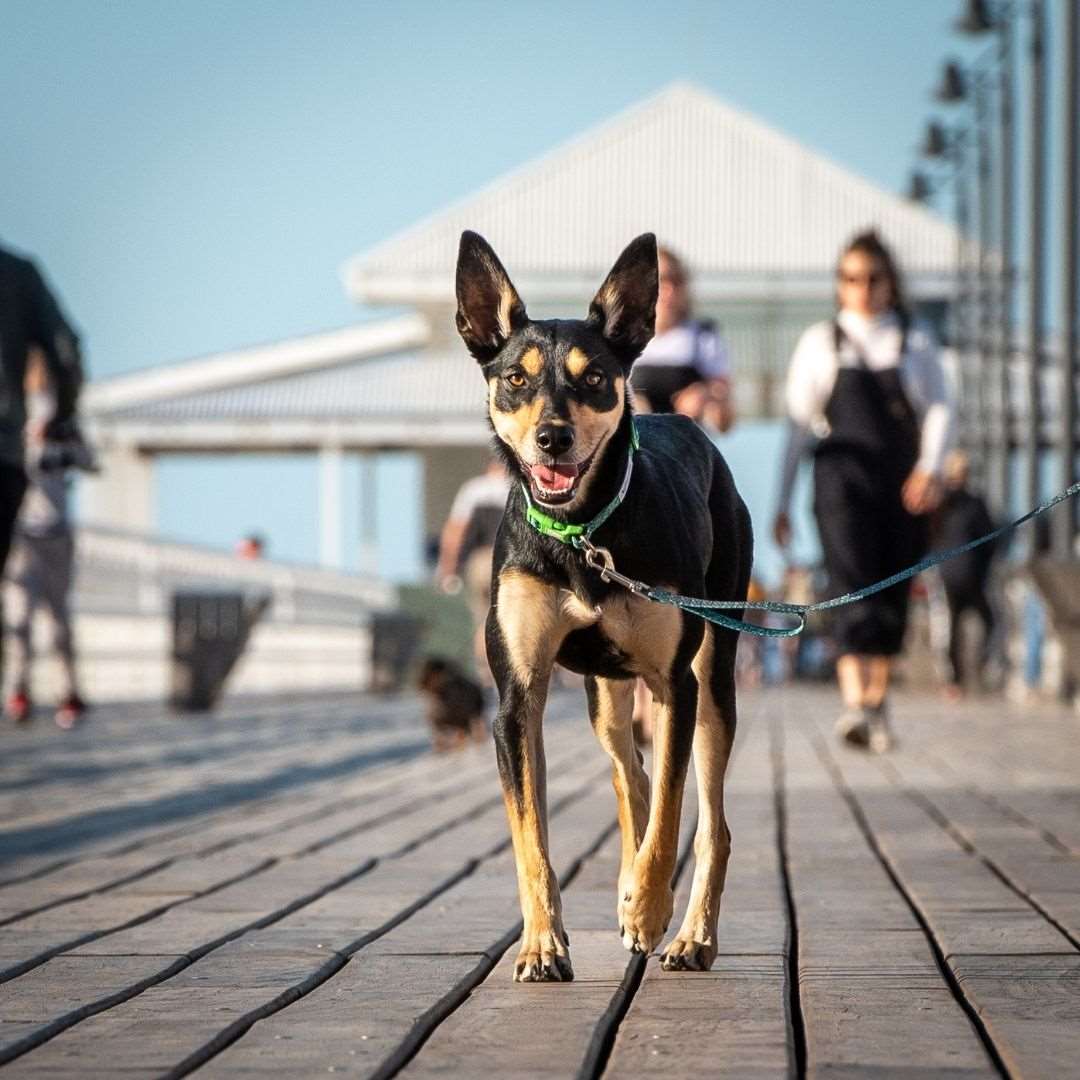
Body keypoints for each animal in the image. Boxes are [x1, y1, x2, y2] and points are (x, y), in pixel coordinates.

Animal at [455, 227, 751, 980]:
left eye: (594, 379)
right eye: (516, 378)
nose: (552, 438)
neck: (582, 531)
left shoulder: (676, 685)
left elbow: (675, 813)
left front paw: (646, 911)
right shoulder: (517, 697)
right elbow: (531, 838)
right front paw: (541, 943)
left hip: (713, 675)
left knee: (711, 821)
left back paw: (690, 935)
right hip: (606, 699)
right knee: (631, 779)